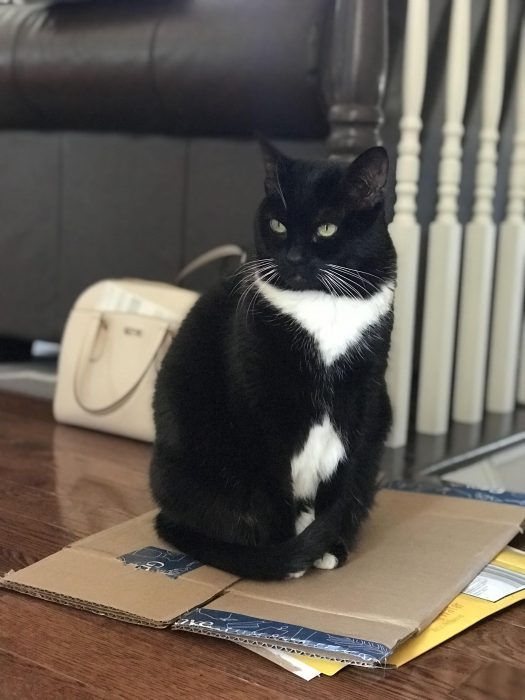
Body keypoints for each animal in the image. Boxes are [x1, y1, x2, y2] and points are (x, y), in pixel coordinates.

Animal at [149, 142, 396, 580]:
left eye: (326, 228)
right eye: (278, 224)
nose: (294, 257)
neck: (324, 304)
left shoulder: (363, 397)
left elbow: (342, 481)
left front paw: (327, 545)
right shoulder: (261, 405)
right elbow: (272, 486)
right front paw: (285, 557)